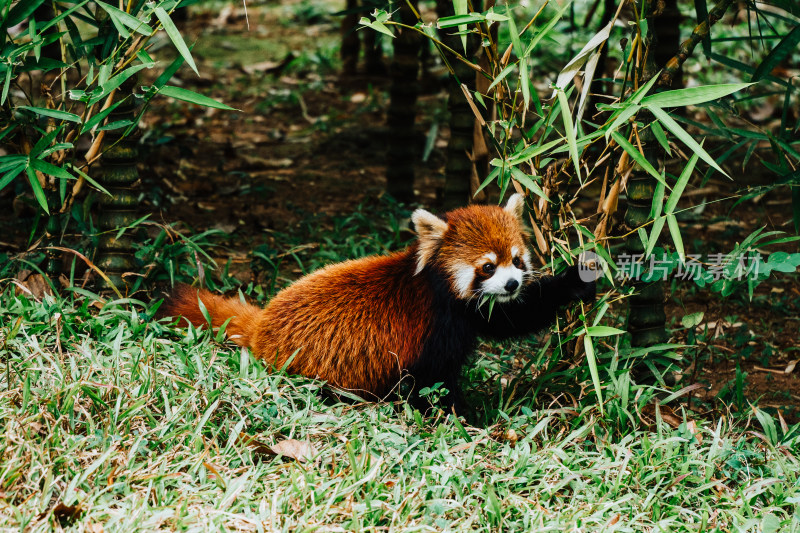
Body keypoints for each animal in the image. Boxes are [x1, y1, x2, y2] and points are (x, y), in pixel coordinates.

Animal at [161, 193, 592, 410]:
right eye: (487, 267)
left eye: (517, 260)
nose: (513, 283)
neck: (441, 288)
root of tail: (263, 326)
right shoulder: (435, 326)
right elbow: (433, 382)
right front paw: (468, 417)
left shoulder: (472, 311)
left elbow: (511, 319)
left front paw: (579, 277)